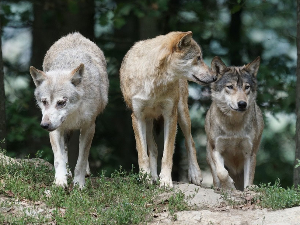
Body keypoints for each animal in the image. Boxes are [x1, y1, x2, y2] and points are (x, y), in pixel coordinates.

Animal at [29, 32, 108, 188]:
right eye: (44, 102)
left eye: (61, 102)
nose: (44, 125)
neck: (73, 114)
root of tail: (75, 34)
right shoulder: (55, 129)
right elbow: (59, 158)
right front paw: (60, 181)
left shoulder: (89, 127)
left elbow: (81, 160)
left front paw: (79, 184)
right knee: (64, 150)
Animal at [119, 31, 216, 186]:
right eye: (198, 58)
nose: (214, 77)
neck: (155, 82)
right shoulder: (137, 116)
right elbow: (143, 154)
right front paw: (145, 178)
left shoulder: (170, 115)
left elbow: (167, 154)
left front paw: (165, 181)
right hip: (148, 120)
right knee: (153, 148)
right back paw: (152, 177)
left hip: (182, 114)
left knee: (190, 142)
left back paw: (195, 174)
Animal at [205, 55, 264, 190]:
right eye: (230, 87)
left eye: (247, 87)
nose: (242, 104)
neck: (234, 125)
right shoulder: (216, 149)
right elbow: (221, 172)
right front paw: (229, 186)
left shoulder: (250, 153)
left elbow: (249, 180)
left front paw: (248, 189)